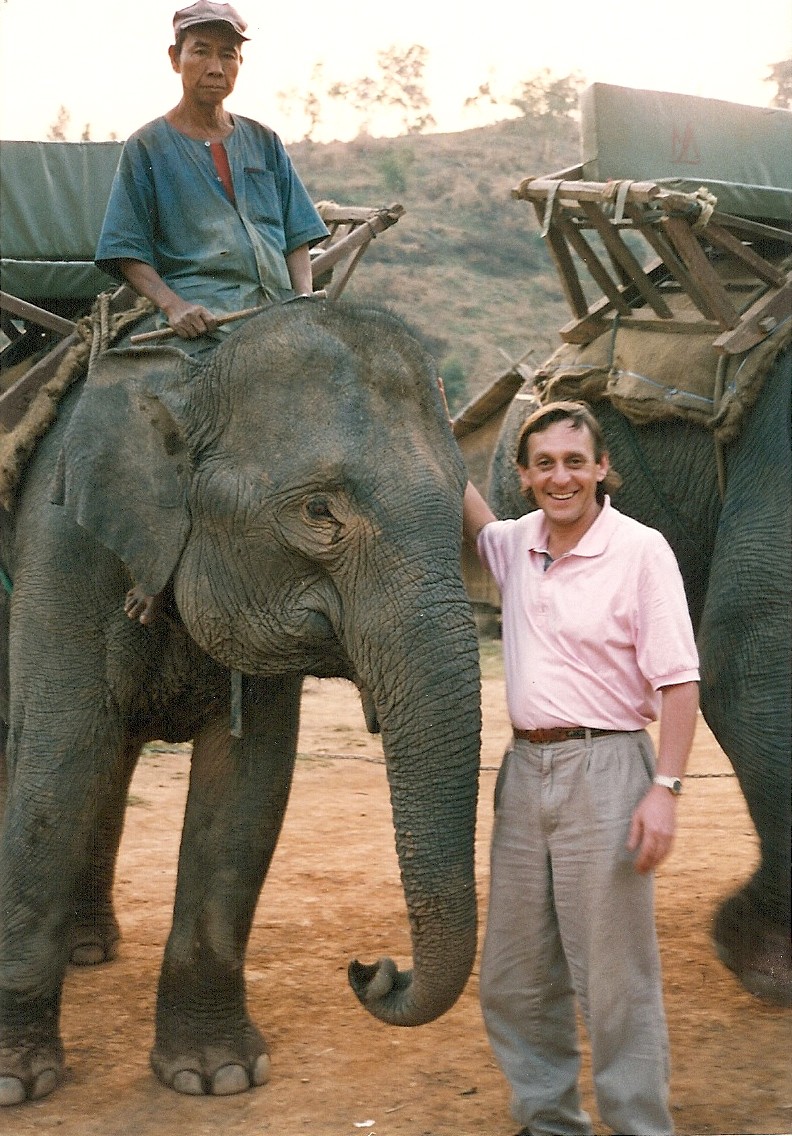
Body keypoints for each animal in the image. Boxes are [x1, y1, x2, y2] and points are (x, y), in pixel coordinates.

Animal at [0, 299, 482, 1105]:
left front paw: (216, 1076)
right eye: (319, 509)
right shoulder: (62, 545)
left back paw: (89, 951)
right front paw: (15, 1083)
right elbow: (57, 767)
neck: (190, 375)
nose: (370, 968)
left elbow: (247, 788)